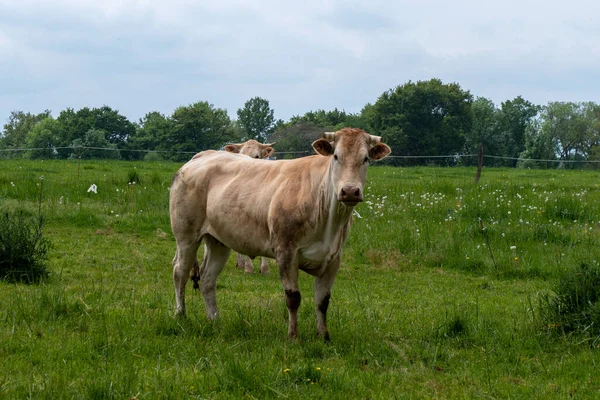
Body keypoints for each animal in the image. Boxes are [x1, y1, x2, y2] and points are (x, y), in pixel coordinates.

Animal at [171, 128, 392, 340]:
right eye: (336, 156)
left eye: (365, 158)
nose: (350, 191)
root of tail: (202, 157)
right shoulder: (286, 251)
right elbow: (293, 298)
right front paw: (293, 336)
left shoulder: (333, 259)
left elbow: (323, 301)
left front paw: (323, 336)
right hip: (186, 236)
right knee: (180, 272)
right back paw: (180, 314)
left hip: (219, 240)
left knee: (208, 279)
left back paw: (214, 320)